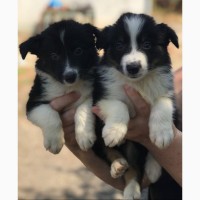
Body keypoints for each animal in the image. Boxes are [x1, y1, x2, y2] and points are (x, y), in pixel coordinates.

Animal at [19, 20, 99, 154]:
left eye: (78, 51)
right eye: (54, 56)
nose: (70, 76)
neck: (67, 87)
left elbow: (83, 108)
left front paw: (84, 136)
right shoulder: (33, 102)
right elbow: (49, 114)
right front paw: (54, 141)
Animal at [93, 13, 180, 199]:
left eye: (147, 45)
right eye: (119, 45)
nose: (133, 67)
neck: (137, 83)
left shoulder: (167, 93)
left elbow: (162, 104)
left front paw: (161, 134)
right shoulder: (101, 97)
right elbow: (119, 105)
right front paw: (114, 131)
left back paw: (152, 169)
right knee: (127, 163)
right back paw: (121, 169)